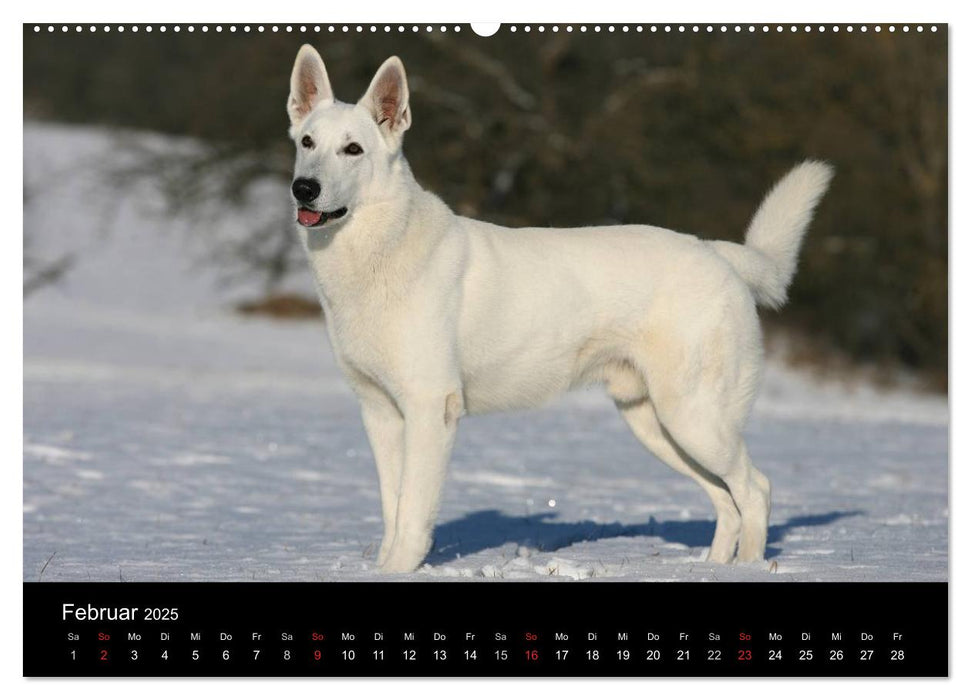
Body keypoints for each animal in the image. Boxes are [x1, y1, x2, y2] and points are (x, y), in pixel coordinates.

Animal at [284, 45, 832, 576]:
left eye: (353, 150)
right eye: (307, 142)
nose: (303, 188)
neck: (377, 251)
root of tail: (717, 253)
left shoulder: (429, 410)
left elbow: (414, 513)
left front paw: (397, 570)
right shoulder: (380, 413)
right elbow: (392, 507)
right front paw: (382, 567)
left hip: (695, 420)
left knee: (755, 491)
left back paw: (750, 567)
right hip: (659, 426)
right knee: (726, 501)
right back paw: (714, 568)